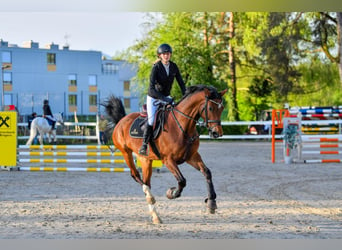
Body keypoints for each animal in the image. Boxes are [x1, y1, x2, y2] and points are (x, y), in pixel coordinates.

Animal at [103, 85, 228, 224]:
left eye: (222, 108)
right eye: (210, 108)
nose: (217, 133)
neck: (182, 126)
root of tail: (122, 120)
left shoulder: (192, 156)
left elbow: (207, 172)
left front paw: (211, 203)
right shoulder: (168, 160)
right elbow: (182, 181)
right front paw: (171, 193)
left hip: (145, 159)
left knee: (146, 181)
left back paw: (155, 216)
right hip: (126, 153)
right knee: (135, 175)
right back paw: (150, 197)